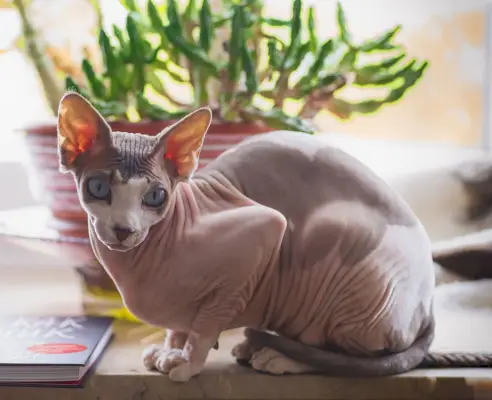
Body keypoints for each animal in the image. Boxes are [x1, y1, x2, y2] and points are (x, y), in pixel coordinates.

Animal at [55, 92, 490, 382]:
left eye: (155, 197)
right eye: (98, 189)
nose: (124, 229)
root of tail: (428, 306)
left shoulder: (263, 230)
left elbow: (207, 323)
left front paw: (187, 362)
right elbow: (178, 325)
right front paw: (170, 348)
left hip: (338, 241)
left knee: (350, 355)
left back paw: (280, 358)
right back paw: (257, 347)